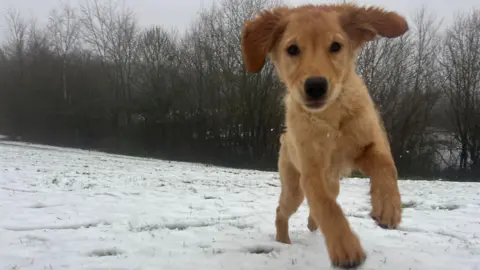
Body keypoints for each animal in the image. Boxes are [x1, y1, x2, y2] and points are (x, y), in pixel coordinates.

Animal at [242, 3, 406, 268]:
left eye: (336, 46)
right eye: (292, 49)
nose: (316, 86)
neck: (331, 116)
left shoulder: (369, 143)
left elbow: (386, 166)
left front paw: (388, 208)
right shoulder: (311, 170)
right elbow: (326, 206)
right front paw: (346, 248)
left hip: (333, 184)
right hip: (294, 188)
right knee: (283, 210)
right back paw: (283, 240)